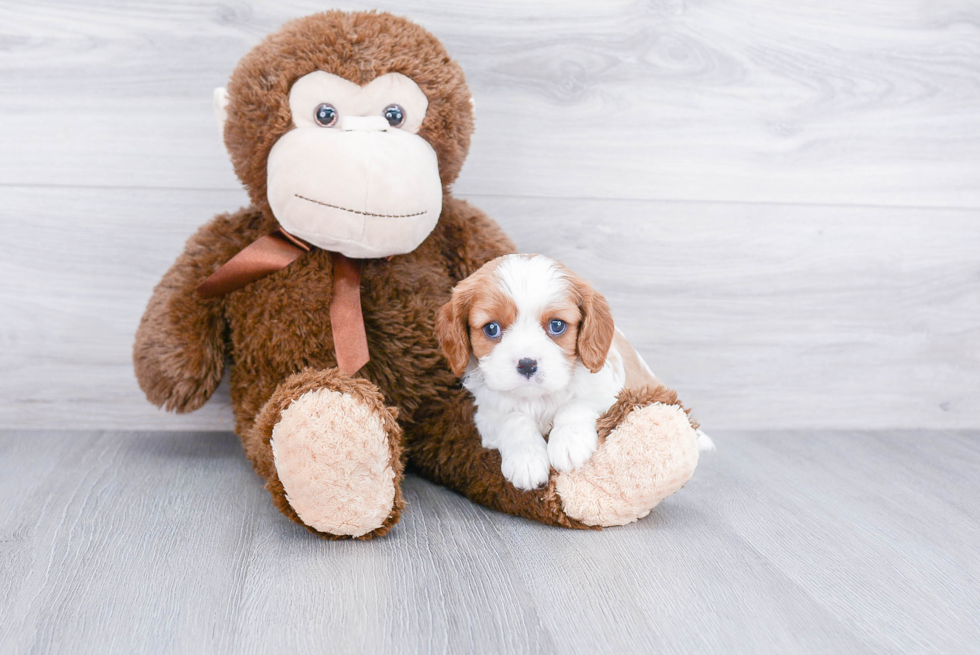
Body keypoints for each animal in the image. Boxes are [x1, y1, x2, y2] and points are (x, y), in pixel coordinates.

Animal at [436, 254, 704, 490]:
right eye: (491, 329)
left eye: (557, 325)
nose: (527, 364)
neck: (538, 398)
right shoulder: (487, 416)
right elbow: (514, 418)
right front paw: (526, 460)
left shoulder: (609, 394)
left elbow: (576, 404)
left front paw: (568, 443)